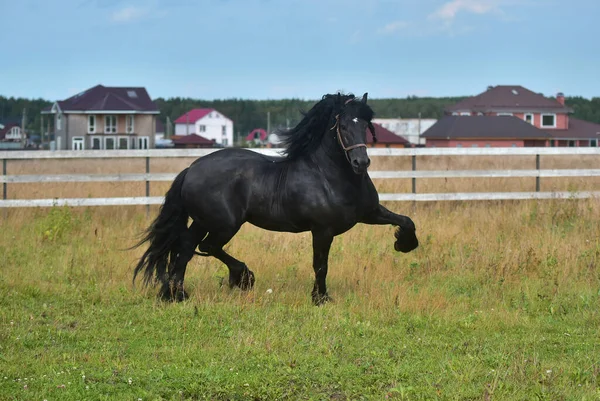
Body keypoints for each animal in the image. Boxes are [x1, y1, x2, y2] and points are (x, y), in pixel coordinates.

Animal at [134, 93, 420, 304]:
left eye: (365, 125)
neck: (329, 175)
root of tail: (191, 169)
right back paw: (243, 277)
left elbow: (406, 220)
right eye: (343, 125)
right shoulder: (322, 230)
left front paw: (404, 244)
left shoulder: (369, 213)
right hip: (224, 224)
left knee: (185, 247)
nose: (361, 162)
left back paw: (177, 295)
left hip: (203, 221)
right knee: (206, 247)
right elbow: (320, 265)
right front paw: (320, 298)